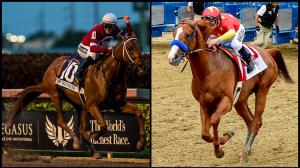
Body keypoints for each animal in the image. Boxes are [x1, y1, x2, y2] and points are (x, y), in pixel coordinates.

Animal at [4, 33, 145, 158]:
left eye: (140, 47)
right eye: (130, 47)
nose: (142, 65)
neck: (109, 76)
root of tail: (50, 66)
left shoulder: (117, 105)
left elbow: (139, 113)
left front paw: (140, 145)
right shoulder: (92, 105)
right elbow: (104, 125)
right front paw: (93, 135)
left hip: (79, 104)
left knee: (81, 128)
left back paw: (93, 151)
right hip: (55, 93)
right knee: (61, 121)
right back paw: (77, 142)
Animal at [168, 18, 294, 161]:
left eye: (188, 35)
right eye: (173, 34)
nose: (172, 58)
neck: (208, 70)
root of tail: (268, 52)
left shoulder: (227, 102)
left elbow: (214, 120)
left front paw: (222, 144)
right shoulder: (204, 104)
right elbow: (204, 134)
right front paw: (221, 143)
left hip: (262, 90)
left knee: (256, 121)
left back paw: (245, 151)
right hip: (240, 101)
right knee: (250, 121)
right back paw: (247, 148)